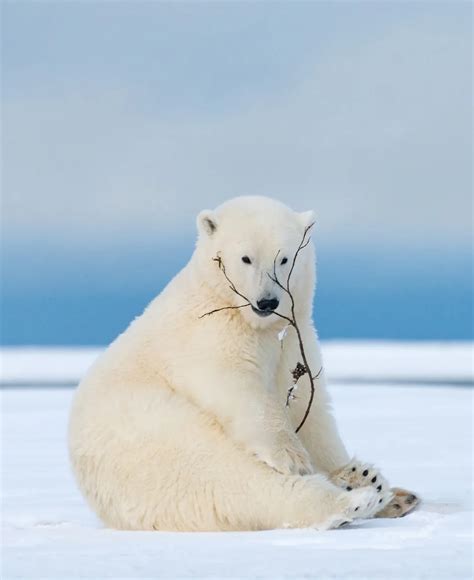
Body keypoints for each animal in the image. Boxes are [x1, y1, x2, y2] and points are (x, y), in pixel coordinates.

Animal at [68, 197, 416, 532]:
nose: (267, 301)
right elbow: (237, 387)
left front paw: (352, 469)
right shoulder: (208, 335)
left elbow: (309, 407)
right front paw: (291, 456)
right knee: (230, 475)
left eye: (284, 259)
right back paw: (357, 501)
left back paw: (380, 487)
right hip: (158, 437)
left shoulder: (293, 338)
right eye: (246, 258)